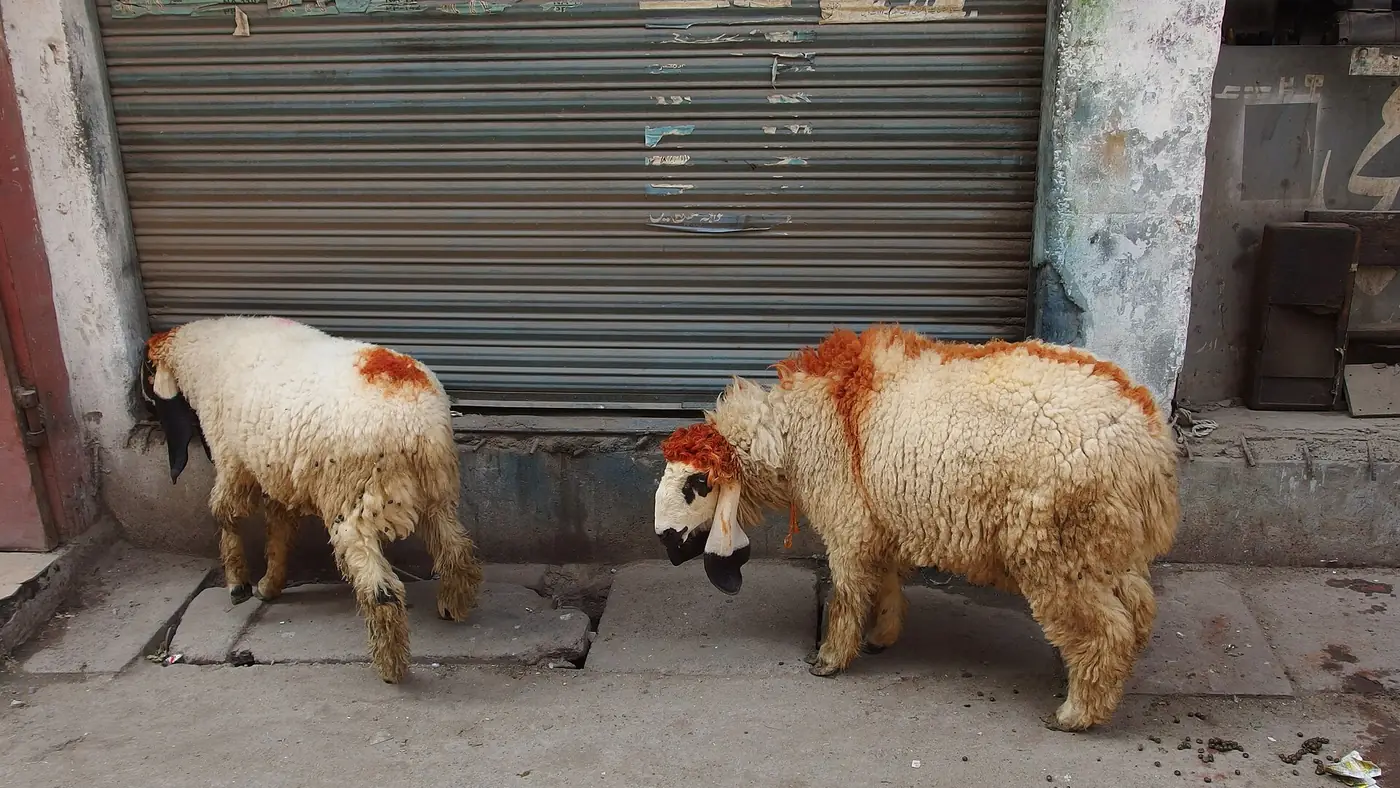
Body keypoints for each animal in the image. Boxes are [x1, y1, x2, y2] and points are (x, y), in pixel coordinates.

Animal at [139, 315, 483, 683]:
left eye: (147, 368)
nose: (142, 397)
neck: (202, 360)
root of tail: (416, 424)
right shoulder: (276, 473)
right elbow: (278, 531)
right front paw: (270, 584)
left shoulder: (234, 463)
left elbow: (225, 514)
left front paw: (237, 584)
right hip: (436, 490)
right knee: (456, 550)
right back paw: (452, 606)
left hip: (355, 502)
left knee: (381, 592)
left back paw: (390, 666)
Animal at [652, 324, 1179, 731]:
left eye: (697, 484)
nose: (667, 544)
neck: (790, 433)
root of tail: (1147, 430)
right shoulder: (878, 518)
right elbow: (884, 581)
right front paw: (882, 636)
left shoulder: (848, 521)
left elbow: (847, 593)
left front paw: (830, 658)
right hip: (1107, 542)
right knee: (1137, 613)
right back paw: (1089, 680)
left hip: (1055, 546)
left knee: (1108, 629)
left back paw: (1076, 713)